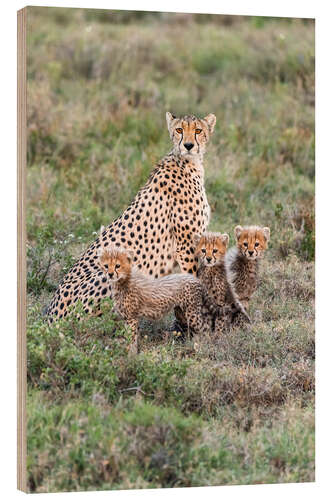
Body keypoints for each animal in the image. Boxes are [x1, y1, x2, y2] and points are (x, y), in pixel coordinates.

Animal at [46, 112, 215, 320]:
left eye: (198, 130)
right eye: (179, 129)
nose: (189, 145)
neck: (188, 163)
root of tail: (50, 317)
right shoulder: (185, 245)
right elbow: (194, 279)